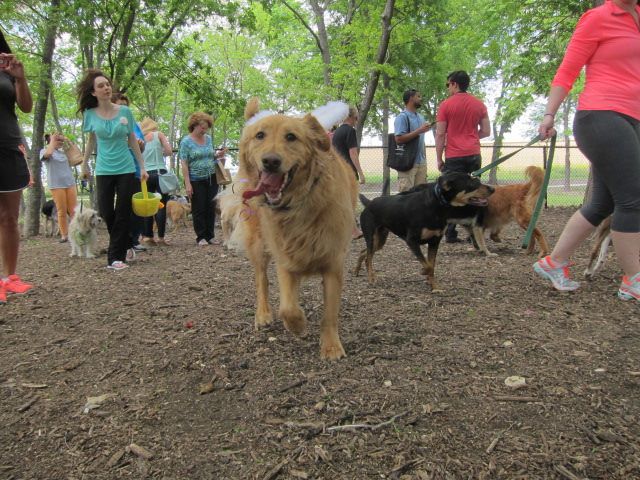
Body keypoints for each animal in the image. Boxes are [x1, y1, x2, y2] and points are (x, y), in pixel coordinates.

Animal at [228, 98, 360, 360]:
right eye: (260, 135)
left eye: (291, 137)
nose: (271, 161)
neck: (300, 204)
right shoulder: (285, 259)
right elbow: (287, 307)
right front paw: (298, 326)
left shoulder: (333, 262)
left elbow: (330, 312)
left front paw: (331, 346)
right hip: (259, 245)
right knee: (261, 280)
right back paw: (263, 314)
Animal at [356, 172, 496, 292]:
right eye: (472, 182)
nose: (493, 189)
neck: (436, 206)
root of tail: (369, 202)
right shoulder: (411, 241)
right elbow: (428, 265)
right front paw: (423, 272)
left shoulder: (434, 241)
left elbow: (432, 265)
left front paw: (434, 287)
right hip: (371, 236)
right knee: (368, 257)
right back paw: (371, 278)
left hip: (380, 240)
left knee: (364, 253)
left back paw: (357, 270)